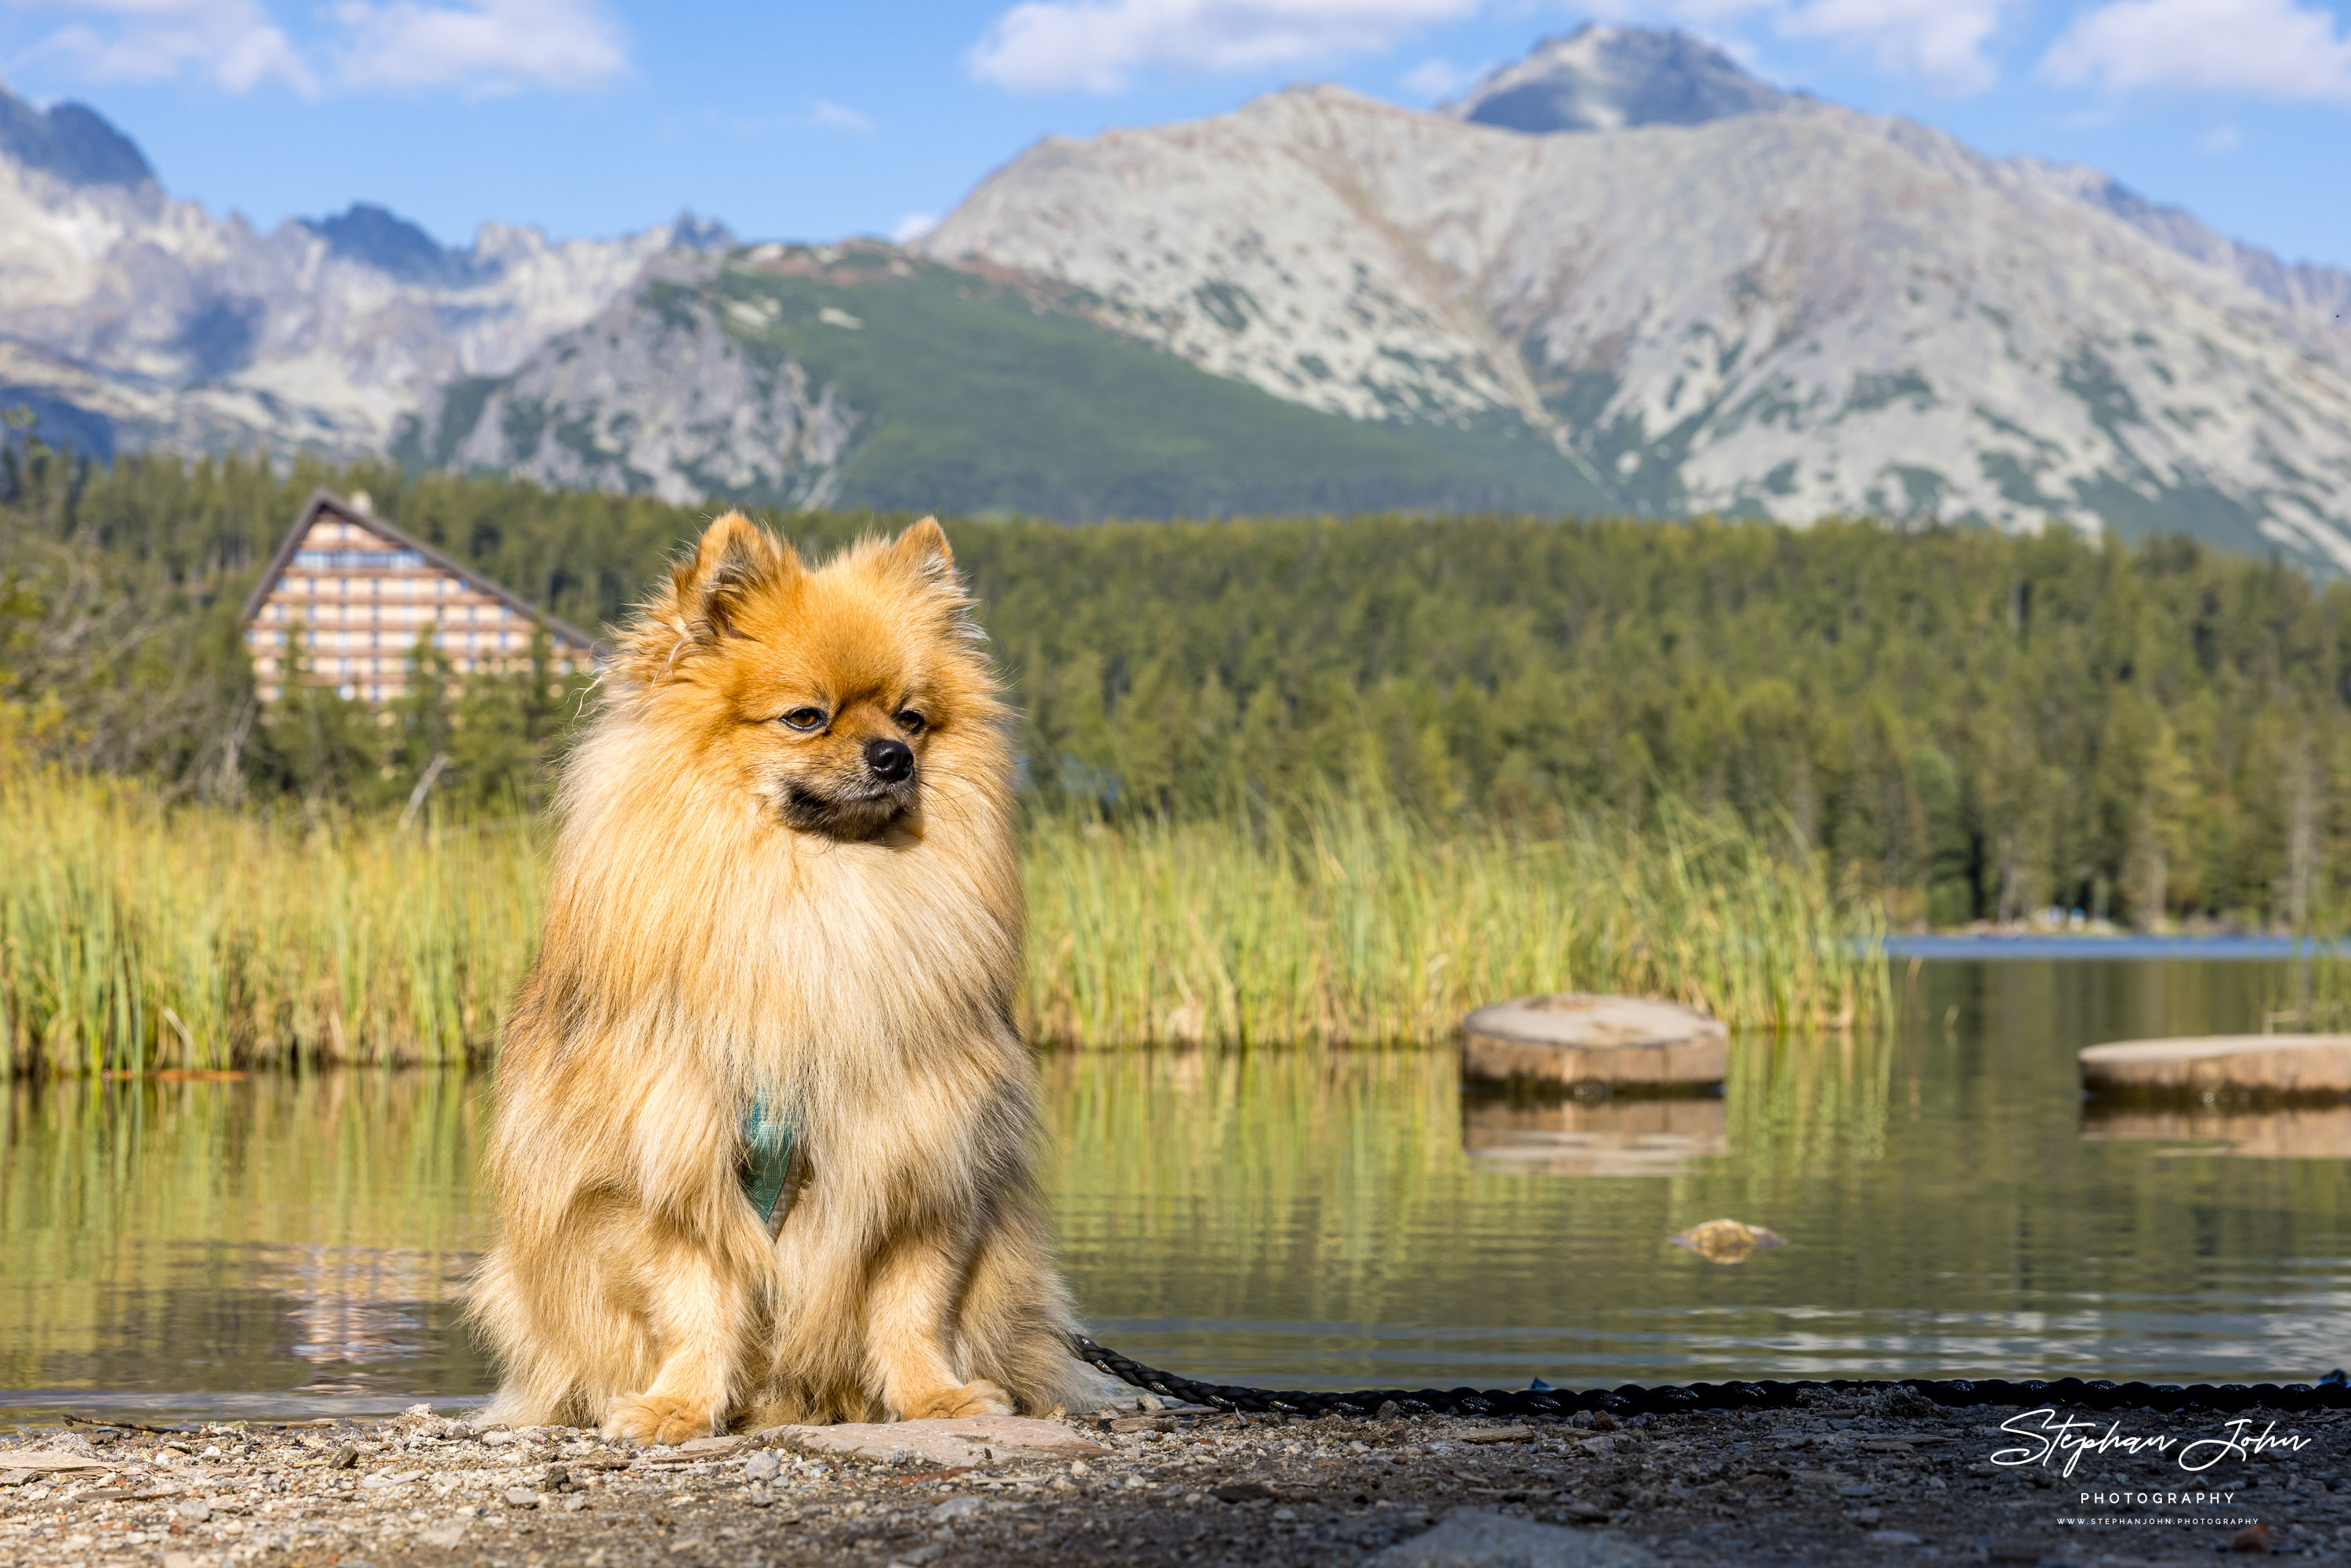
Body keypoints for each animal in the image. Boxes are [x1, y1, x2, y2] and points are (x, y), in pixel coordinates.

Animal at [470, 510, 1091, 1439]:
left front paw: (934, 1397)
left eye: (912, 718)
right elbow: (696, 1300)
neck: (814, 895)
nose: (893, 756)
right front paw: (679, 1405)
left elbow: (911, 1301)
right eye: (806, 717)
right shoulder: (667, 1156)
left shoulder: (924, 1152)